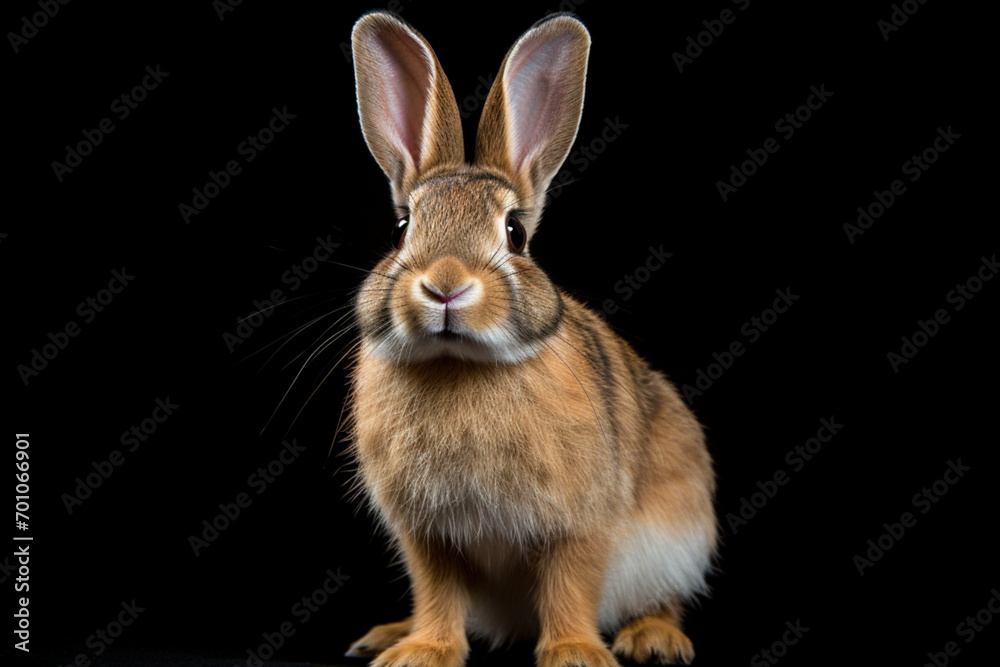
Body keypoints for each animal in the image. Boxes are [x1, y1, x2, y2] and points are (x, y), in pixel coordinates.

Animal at [343, 10, 717, 667]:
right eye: (401, 228)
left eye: (515, 233)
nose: (445, 285)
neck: (460, 364)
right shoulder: (428, 535)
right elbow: (437, 591)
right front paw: (423, 651)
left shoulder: (579, 521)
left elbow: (570, 581)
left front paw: (574, 653)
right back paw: (387, 635)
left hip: (675, 537)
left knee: (662, 596)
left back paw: (654, 640)